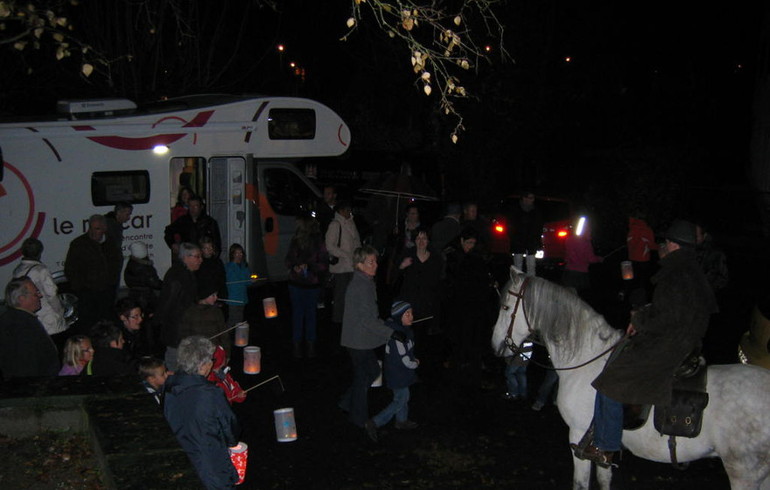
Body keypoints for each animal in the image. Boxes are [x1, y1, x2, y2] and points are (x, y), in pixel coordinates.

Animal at [488, 270, 768, 488]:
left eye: (505, 307)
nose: (495, 346)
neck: (586, 359)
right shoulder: (601, 448)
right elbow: (604, 480)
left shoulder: (577, 435)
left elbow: (580, 483)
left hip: (744, 472)